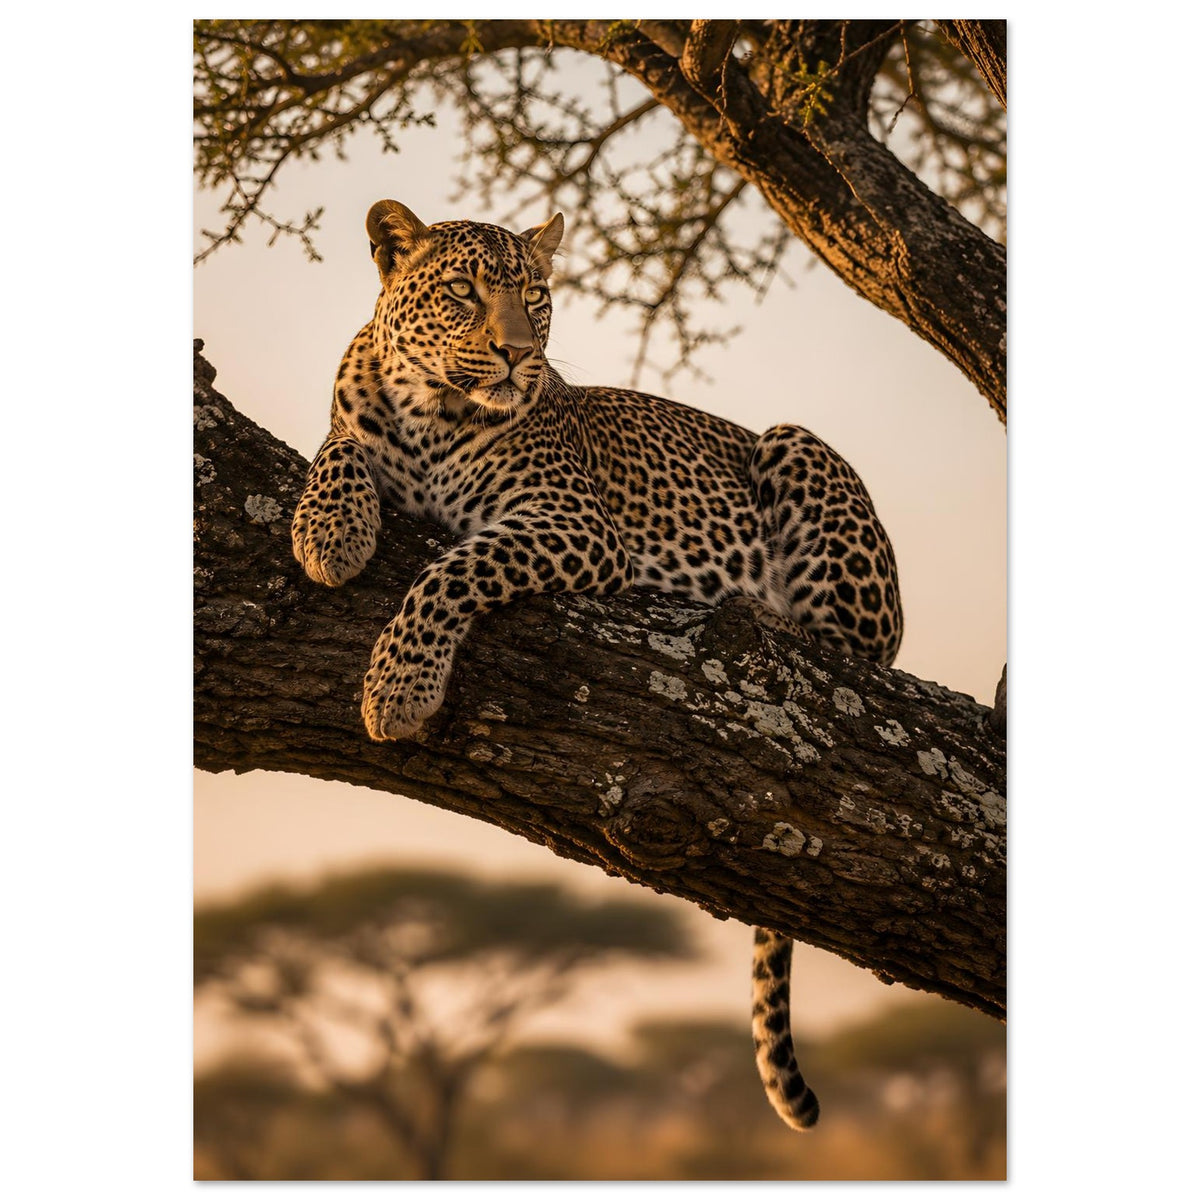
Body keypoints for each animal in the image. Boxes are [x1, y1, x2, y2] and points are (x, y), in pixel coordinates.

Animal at [291, 200, 904, 1133]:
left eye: (537, 297)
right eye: (464, 293)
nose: (519, 355)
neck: (429, 412)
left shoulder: (572, 524)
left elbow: (451, 571)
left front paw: (398, 688)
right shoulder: (353, 423)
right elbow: (337, 447)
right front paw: (329, 530)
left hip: (797, 454)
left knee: (851, 664)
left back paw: (771, 618)